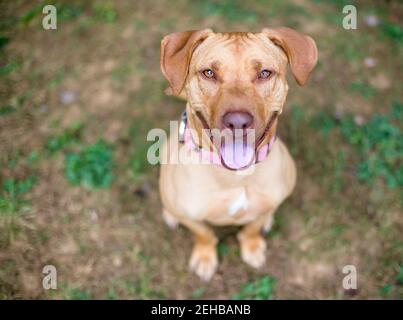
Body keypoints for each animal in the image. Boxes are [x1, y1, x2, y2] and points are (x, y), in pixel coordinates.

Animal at [159, 27, 318, 280]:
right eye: (209, 73)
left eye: (264, 73)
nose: (237, 122)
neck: (235, 176)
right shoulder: (191, 216)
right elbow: (204, 234)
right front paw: (205, 257)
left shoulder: (271, 201)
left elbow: (252, 227)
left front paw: (252, 246)